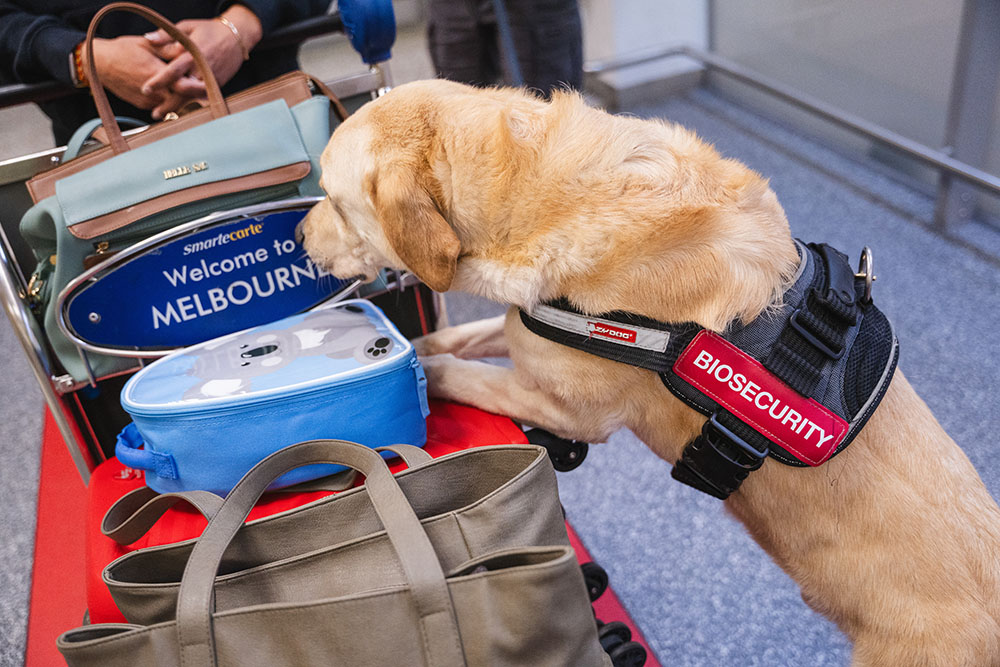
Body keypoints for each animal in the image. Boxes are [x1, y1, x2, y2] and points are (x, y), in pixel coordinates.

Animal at [300, 79, 1000, 667]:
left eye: (331, 198)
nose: (299, 237)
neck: (534, 190)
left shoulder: (559, 406)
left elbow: (451, 370)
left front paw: (416, 373)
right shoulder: (526, 331)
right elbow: (454, 338)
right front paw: (411, 338)